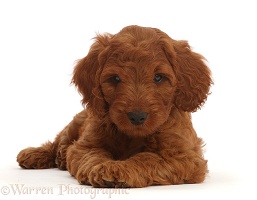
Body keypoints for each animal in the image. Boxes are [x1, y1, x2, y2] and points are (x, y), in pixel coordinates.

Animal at [16, 25, 212, 188]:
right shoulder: (86, 144)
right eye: (115, 78)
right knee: (59, 141)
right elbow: (91, 155)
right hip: (75, 123)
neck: (132, 136)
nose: (137, 116)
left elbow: (147, 158)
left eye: (158, 77)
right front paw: (101, 169)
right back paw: (37, 154)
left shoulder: (184, 156)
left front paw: (118, 169)